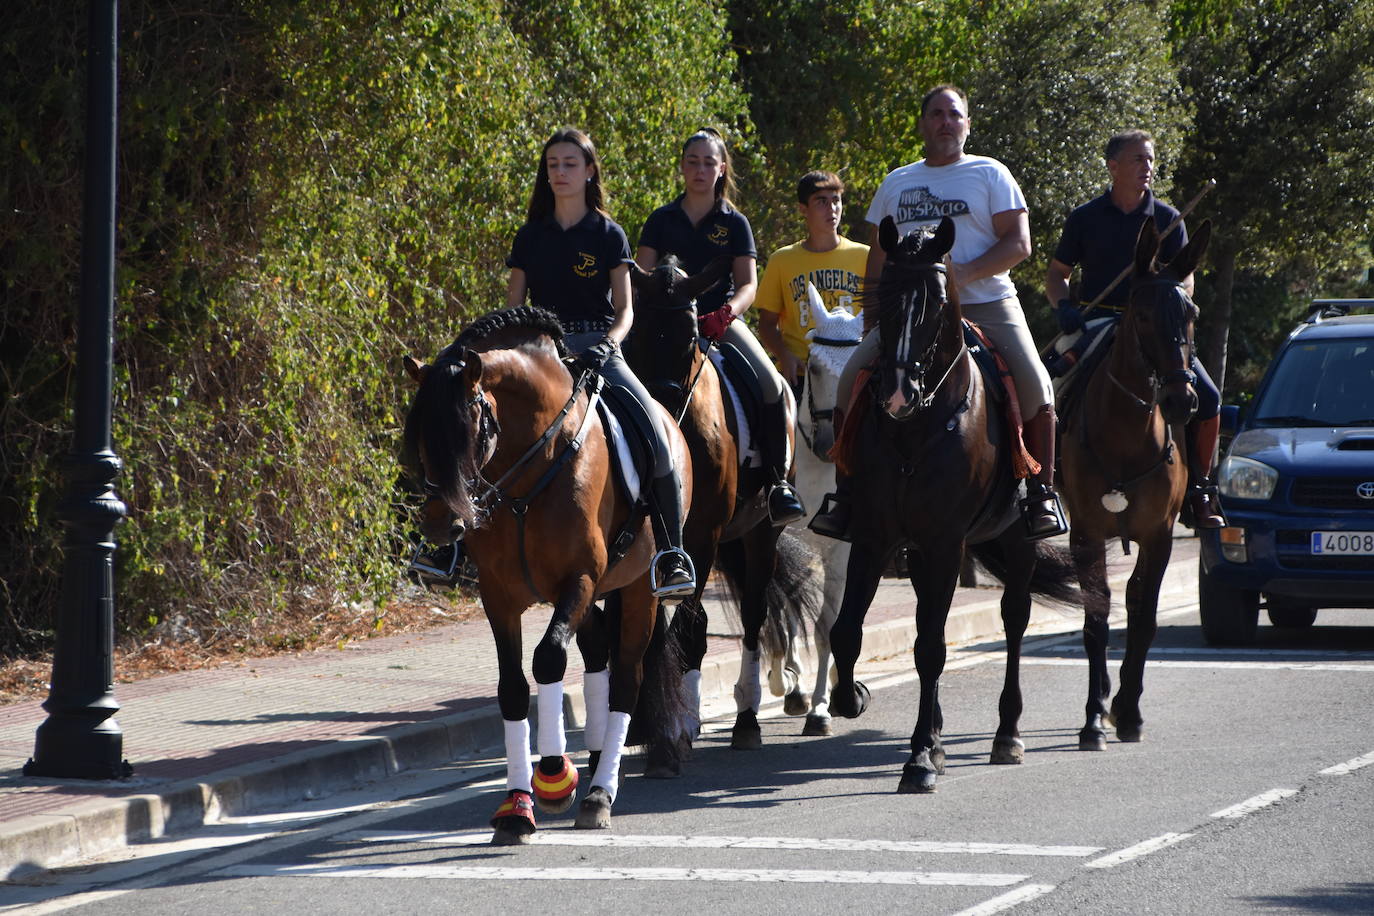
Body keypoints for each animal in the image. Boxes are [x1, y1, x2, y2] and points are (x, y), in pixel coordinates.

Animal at [401, 307, 692, 845]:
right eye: (420, 435)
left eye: (467, 429)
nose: (440, 525)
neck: (528, 473)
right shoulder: (499, 596)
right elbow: (514, 688)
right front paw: (518, 806)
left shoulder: (578, 579)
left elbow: (549, 659)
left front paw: (555, 776)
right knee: (597, 653)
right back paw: (597, 761)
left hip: (638, 589)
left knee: (626, 677)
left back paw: (600, 792)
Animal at [629, 256, 818, 769]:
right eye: (635, 332)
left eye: (692, 333)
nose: (662, 408)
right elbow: (655, 631)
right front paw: (647, 724)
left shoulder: (703, 534)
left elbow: (693, 626)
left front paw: (682, 725)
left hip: (759, 534)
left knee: (753, 616)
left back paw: (748, 718)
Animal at [818, 215, 1077, 796]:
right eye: (885, 293)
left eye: (935, 302)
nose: (896, 394)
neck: (917, 428)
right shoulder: (876, 536)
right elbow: (847, 631)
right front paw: (852, 699)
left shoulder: (944, 542)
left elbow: (931, 649)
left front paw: (917, 759)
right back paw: (938, 737)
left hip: (1015, 542)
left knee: (1014, 620)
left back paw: (1006, 735)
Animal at [1060, 216, 1214, 752]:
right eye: (1143, 315)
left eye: (1191, 312)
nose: (1181, 400)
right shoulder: (1086, 533)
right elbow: (1095, 621)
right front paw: (1092, 718)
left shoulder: (1158, 535)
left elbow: (1144, 620)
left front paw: (1129, 712)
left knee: (1132, 598)